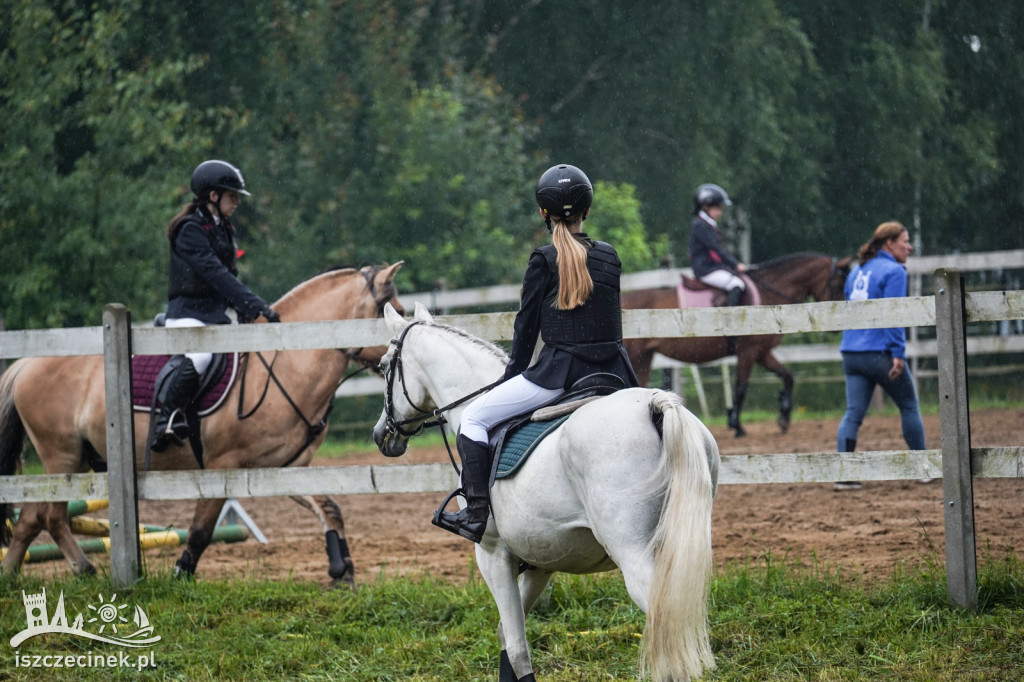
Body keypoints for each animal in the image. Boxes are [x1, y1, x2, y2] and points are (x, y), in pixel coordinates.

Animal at [0, 261, 405, 585]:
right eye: (396, 311)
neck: (285, 364)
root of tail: (27, 364)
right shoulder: (221, 465)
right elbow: (200, 530)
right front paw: (181, 574)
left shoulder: (283, 466)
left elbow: (329, 508)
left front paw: (342, 571)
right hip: (62, 456)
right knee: (49, 516)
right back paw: (72, 569)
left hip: (76, 460)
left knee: (33, 517)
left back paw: (16, 574)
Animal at [372, 303, 716, 679]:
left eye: (384, 366)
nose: (381, 435)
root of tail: (655, 404)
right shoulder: (542, 561)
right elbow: (506, 635)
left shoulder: (493, 555)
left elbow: (517, 647)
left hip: (635, 557)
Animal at [618, 253, 851, 436]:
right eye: (839, 284)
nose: (837, 322)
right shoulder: (748, 352)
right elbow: (741, 387)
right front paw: (737, 426)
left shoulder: (762, 352)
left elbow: (788, 376)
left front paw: (784, 417)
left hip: (643, 358)